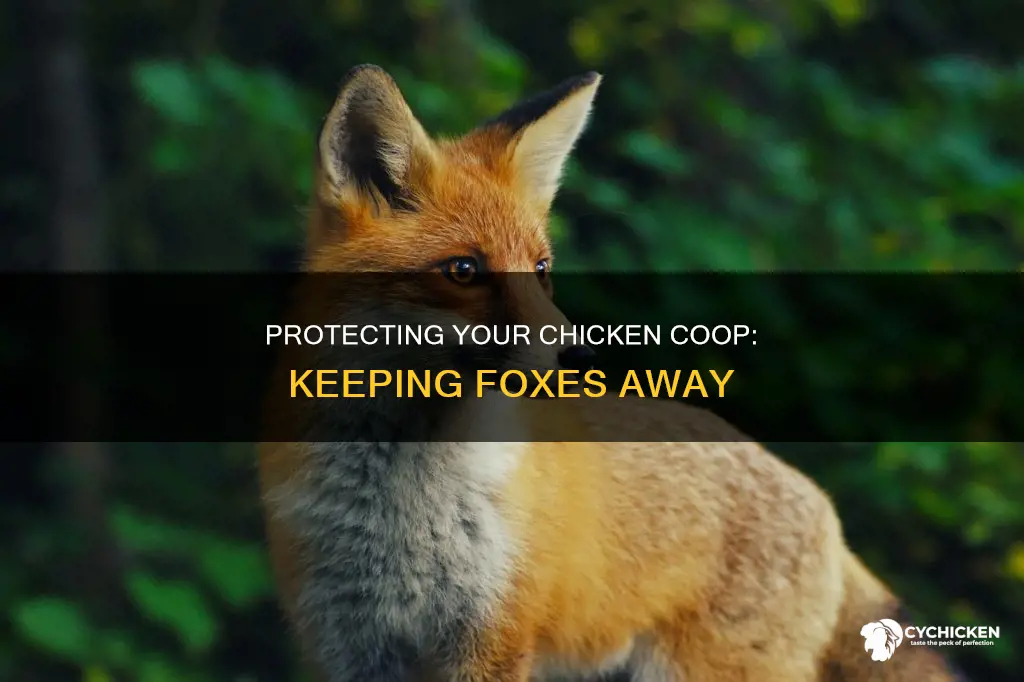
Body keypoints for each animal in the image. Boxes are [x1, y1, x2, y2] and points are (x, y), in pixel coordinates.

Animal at [257, 64, 971, 681]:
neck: (401, 498)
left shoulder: (495, 639)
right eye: (464, 270)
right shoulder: (346, 643)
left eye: (542, 269)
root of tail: (821, 503)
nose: (580, 355)